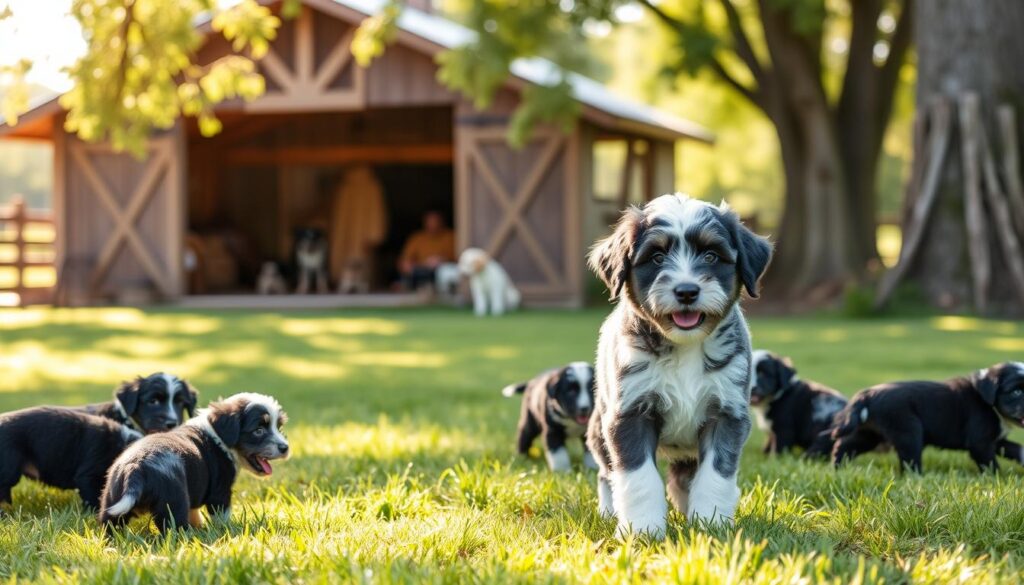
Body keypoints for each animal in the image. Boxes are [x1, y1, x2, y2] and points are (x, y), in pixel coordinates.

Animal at [97, 391, 290, 532]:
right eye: (259, 430)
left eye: (279, 427)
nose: (286, 448)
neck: (218, 435)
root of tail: (135, 468)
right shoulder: (220, 493)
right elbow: (222, 516)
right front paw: (226, 530)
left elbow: (195, 512)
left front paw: (200, 527)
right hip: (173, 504)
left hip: (111, 500)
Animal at [585, 194, 770, 536]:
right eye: (657, 258)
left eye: (711, 255)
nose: (686, 291)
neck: (686, 347)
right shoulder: (628, 413)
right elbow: (639, 479)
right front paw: (643, 530)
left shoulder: (727, 414)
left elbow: (715, 476)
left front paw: (710, 523)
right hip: (599, 427)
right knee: (607, 472)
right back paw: (608, 511)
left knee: (684, 477)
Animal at [831, 364, 1024, 473]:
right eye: (1016, 391)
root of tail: (868, 394)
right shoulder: (980, 442)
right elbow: (990, 463)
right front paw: (999, 479)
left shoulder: (996, 440)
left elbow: (1015, 448)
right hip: (908, 430)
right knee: (910, 460)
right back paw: (918, 478)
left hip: (870, 433)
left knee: (844, 445)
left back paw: (837, 467)